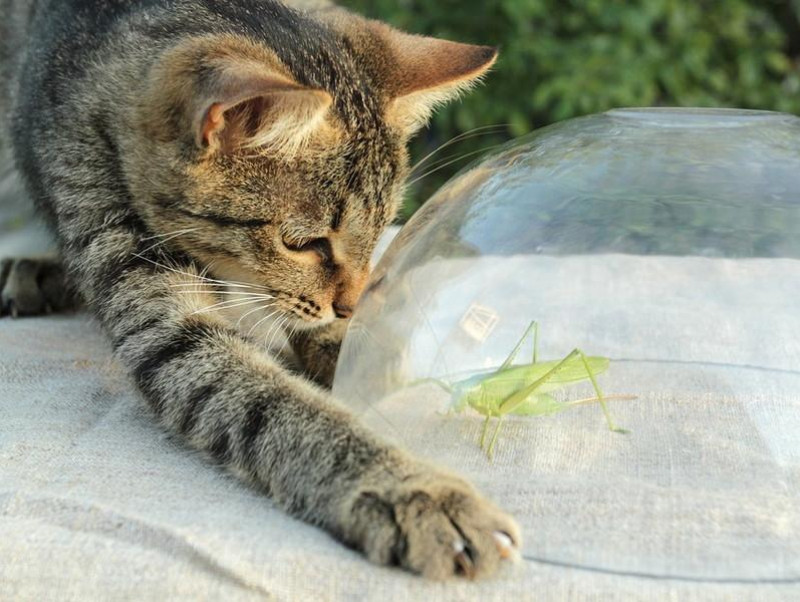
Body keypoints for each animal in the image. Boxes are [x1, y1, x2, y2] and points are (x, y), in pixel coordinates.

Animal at [0, 0, 520, 576]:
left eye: (385, 224)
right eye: (304, 243)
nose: (350, 305)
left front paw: (359, 345)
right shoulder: (156, 309)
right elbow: (273, 402)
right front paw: (413, 490)